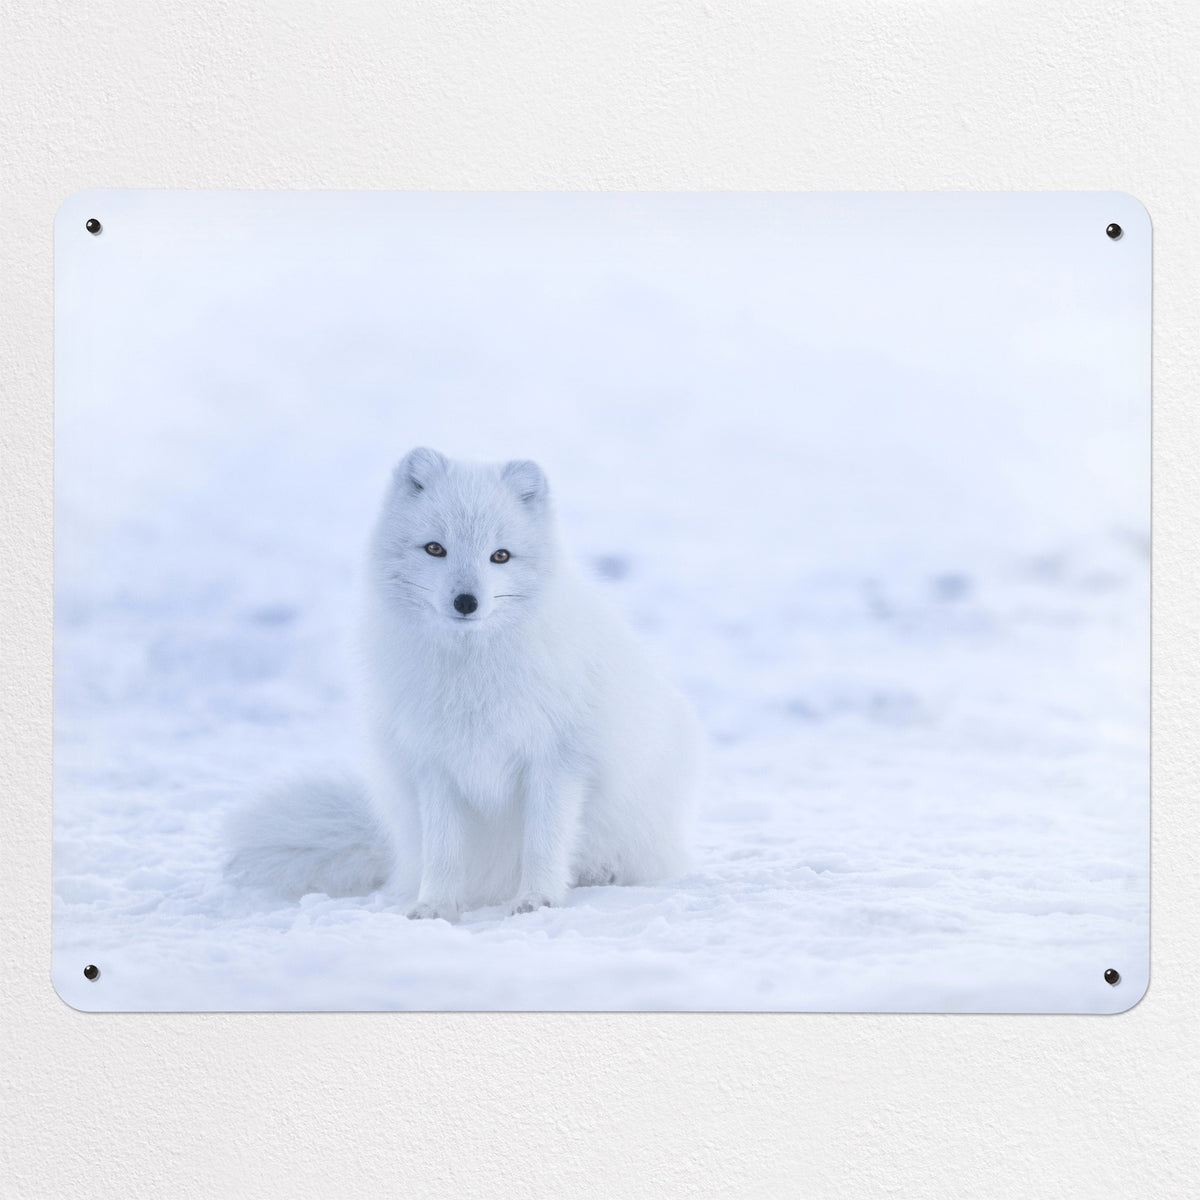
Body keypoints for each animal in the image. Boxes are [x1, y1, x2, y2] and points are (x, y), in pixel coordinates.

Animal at [225, 447, 702, 919]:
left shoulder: (558, 760)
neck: (472, 673)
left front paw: (538, 899)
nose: (466, 602)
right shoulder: (434, 764)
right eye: (435, 548)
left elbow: (544, 842)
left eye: (500, 556)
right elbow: (444, 851)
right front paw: (435, 906)